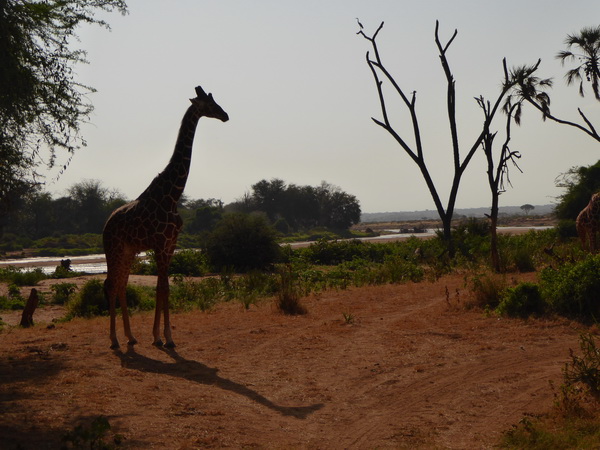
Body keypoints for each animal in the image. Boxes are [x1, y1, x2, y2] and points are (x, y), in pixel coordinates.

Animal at [102, 87, 227, 348]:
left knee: (121, 285)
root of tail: (106, 224)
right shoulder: (160, 244)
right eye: (210, 104)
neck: (173, 194)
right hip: (113, 249)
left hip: (128, 251)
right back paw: (114, 340)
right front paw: (165, 337)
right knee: (111, 285)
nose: (226, 115)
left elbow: (163, 288)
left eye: (215, 100)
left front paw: (160, 336)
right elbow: (162, 287)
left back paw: (131, 337)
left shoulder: (170, 244)